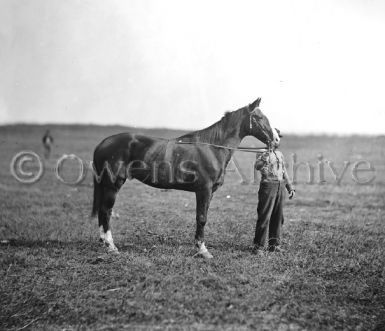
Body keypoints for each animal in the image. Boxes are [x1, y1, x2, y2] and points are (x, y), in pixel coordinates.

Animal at [91, 98, 278, 260]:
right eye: (259, 117)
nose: (277, 139)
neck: (212, 148)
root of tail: (102, 144)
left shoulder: (209, 193)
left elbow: (202, 217)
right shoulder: (203, 190)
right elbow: (201, 218)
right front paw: (203, 250)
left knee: (102, 211)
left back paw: (104, 243)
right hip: (112, 185)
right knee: (106, 211)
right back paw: (111, 246)